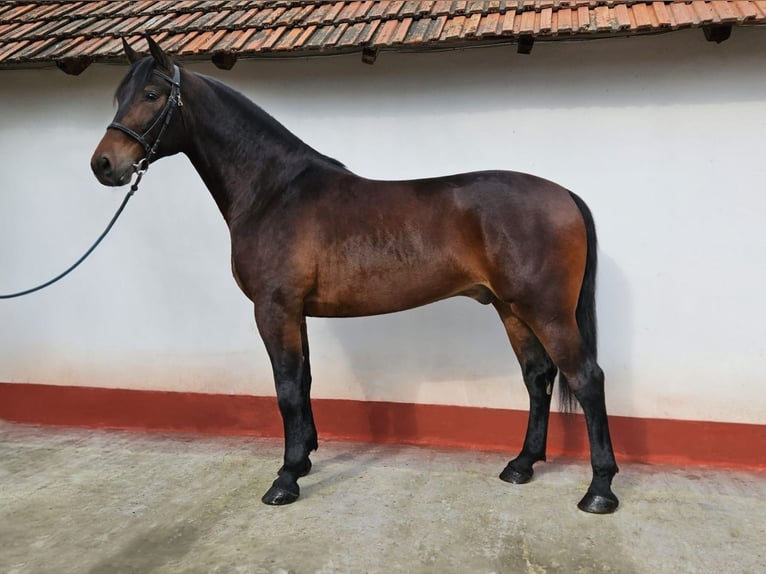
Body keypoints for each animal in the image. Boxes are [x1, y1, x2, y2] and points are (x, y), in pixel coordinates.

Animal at [91, 37, 619, 514]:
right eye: (118, 96)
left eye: (151, 94)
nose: (104, 165)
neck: (273, 191)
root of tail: (564, 194)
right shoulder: (294, 312)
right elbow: (303, 381)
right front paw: (303, 459)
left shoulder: (274, 309)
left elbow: (286, 388)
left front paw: (285, 480)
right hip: (511, 309)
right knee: (538, 376)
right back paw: (522, 465)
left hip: (546, 311)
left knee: (587, 377)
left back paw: (599, 490)